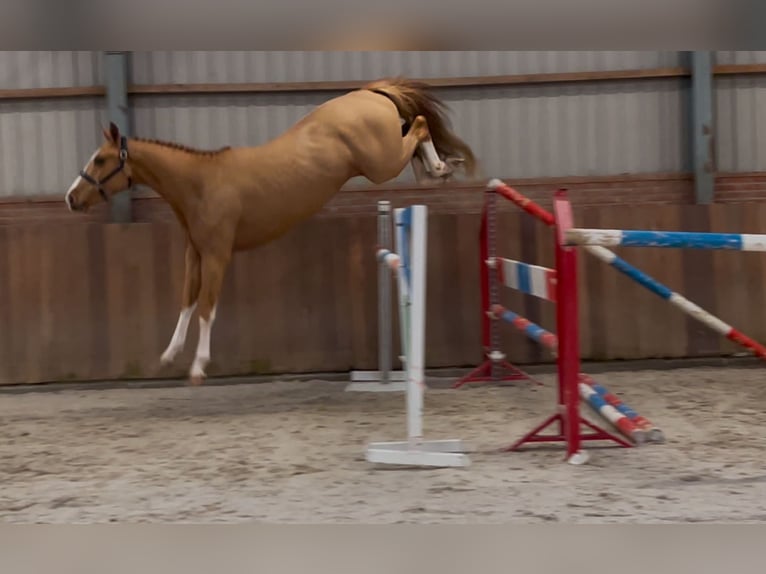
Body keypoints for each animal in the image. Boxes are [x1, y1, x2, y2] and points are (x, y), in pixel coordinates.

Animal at [66, 76, 476, 388]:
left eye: (100, 159)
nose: (71, 198)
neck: (200, 184)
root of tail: (369, 92)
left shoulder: (217, 256)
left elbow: (206, 308)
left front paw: (198, 367)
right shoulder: (195, 254)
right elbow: (185, 302)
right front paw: (168, 356)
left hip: (381, 163)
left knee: (419, 124)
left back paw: (438, 168)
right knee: (416, 128)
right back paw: (437, 169)